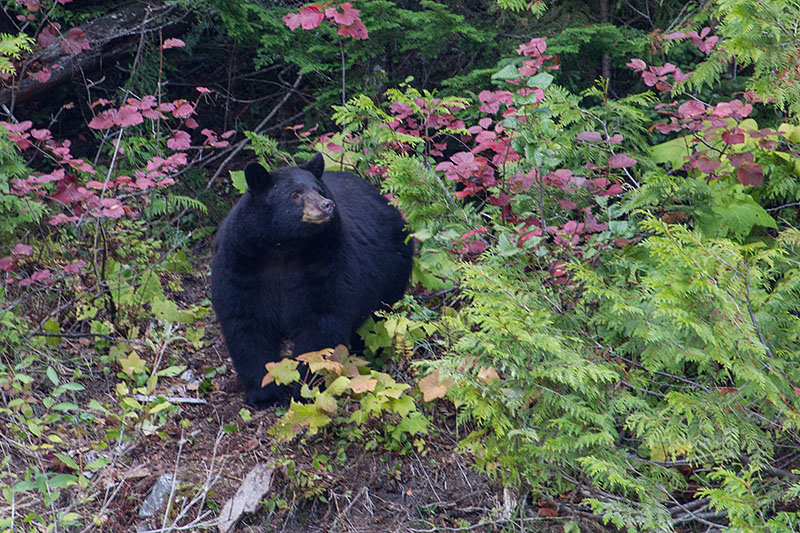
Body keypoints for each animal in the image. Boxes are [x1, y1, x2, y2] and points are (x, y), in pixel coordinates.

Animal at [212, 154, 412, 408]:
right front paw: (264, 394)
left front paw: (306, 392)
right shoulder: (242, 266)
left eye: (318, 189)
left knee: (376, 318)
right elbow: (247, 325)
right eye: (295, 194)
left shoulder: (326, 267)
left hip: (393, 270)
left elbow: (320, 328)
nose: (326, 205)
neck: (283, 249)